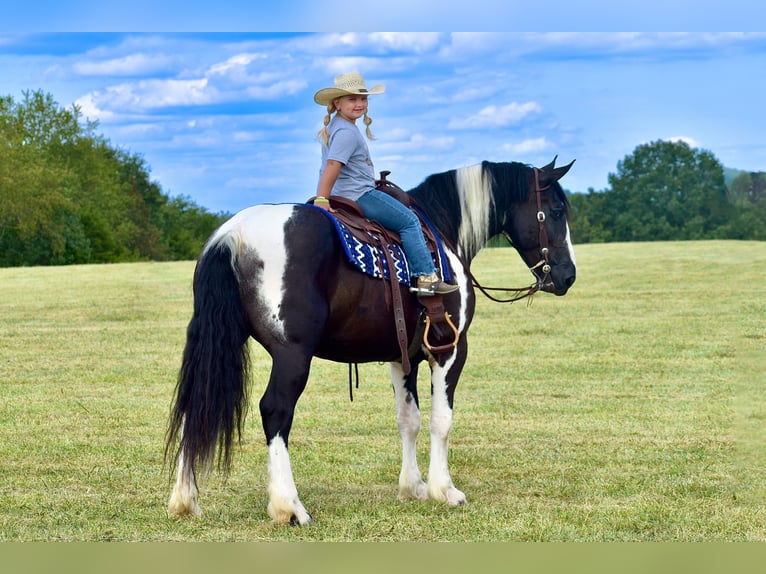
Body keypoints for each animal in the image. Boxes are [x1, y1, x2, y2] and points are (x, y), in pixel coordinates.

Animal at [168, 158, 576, 528]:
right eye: (556, 211)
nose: (568, 275)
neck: (442, 235)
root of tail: (232, 235)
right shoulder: (449, 350)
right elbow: (441, 421)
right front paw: (444, 490)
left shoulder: (402, 356)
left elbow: (408, 420)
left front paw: (413, 486)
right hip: (293, 356)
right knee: (275, 411)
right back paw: (290, 507)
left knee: (195, 405)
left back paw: (185, 501)